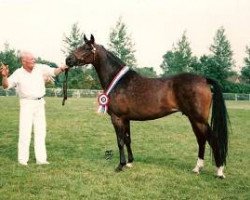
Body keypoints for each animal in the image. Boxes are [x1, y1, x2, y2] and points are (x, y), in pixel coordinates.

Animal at [65, 34, 229, 178]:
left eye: (87, 48)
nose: (68, 60)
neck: (119, 81)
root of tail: (203, 79)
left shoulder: (117, 118)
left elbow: (120, 141)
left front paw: (120, 165)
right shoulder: (126, 119)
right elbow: (128, 139)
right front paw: (130, 163)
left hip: (199, 119)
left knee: (212, 139)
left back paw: (220, 171)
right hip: (193, 119)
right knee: (201, 140)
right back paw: (197, 168)